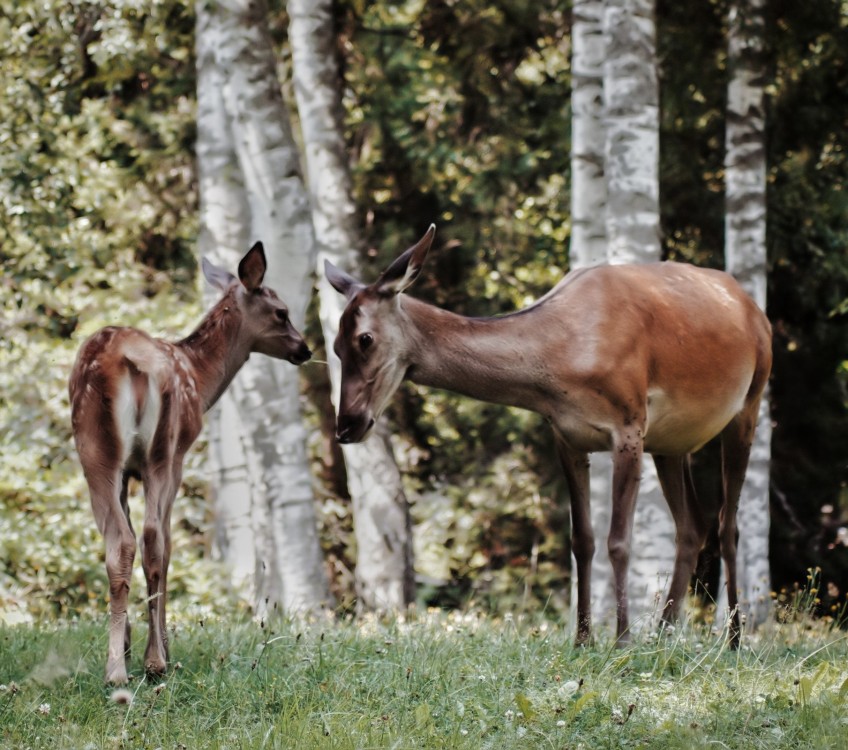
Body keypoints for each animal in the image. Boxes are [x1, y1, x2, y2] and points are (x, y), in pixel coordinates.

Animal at [70, 244, 312, 684]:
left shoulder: (130, 471)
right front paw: (158, 644)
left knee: (123, 541)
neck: (199, 380)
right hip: (156, 452)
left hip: (99, 452)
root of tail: (128, 362)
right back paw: (152, 662)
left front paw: (128, 643)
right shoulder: (179, 457)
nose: (304, 349)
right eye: (281, 312)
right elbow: (166, 546)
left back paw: (121, 668)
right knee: (151, 540)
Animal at [326, 226, 776, 648]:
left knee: (728, 526)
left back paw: (734, 638)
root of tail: (757, 311)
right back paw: (664, 635)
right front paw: (583, 638)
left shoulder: (629, 424)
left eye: (365, 339)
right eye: (333, 346)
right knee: (692, 527)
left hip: (750, 401)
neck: (562, 362)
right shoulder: (566, 436)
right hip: (671, 443)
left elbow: (618, 542)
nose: (347, 424)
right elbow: (582, 540)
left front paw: (622, 641)